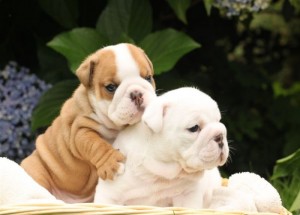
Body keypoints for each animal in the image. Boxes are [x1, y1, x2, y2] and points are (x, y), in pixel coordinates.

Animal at [20, 42, 156, 202]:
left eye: (148, 78)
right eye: (111, 87)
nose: (137, 94)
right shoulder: (80, 130)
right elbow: (96, 145)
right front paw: (111, 162)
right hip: (35, 169)